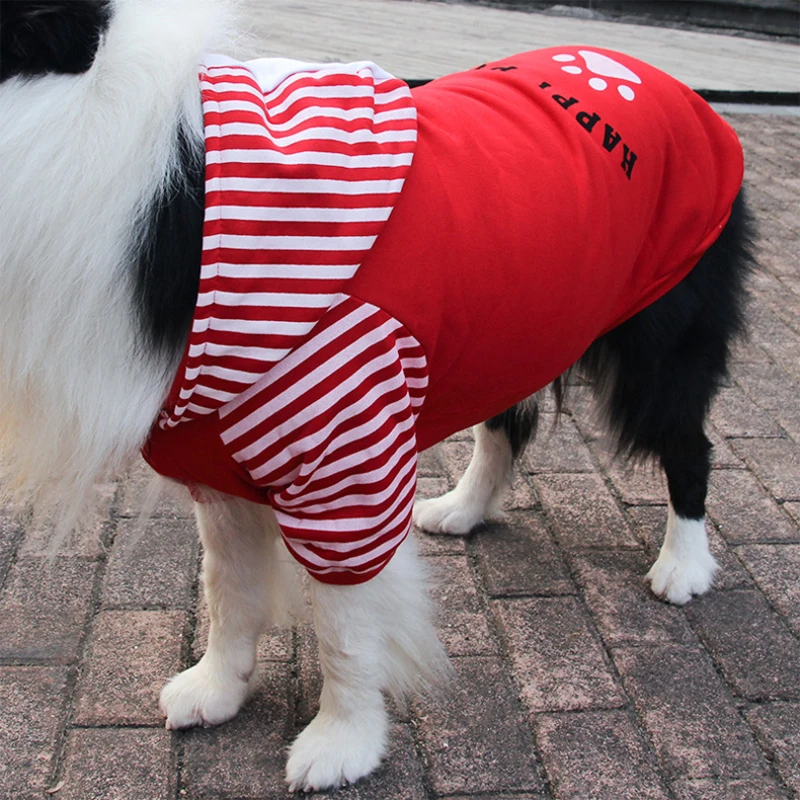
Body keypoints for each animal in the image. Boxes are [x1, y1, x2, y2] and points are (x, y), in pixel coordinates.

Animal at [1, 0, 752, 792]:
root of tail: (661, 80)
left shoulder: (345, 467)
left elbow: (347, 629)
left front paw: (344, 740)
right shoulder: (219, 459)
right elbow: (227, 587)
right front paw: (219, 686)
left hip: (659, 348)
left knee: (690, 448)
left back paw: (684, 566)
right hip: (514, 323)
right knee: (506, 427)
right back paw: (464, 510)